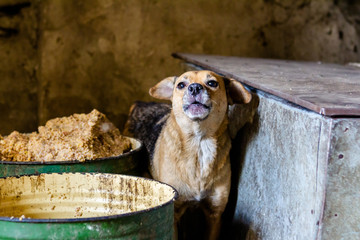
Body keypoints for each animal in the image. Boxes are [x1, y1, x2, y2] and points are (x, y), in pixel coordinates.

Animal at [125, 70, 252, 239]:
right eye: (181, 85)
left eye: (212, 83)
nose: (194, 88)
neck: (199, 143)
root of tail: (140, 103)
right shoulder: (173, 213)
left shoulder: (214, 214)